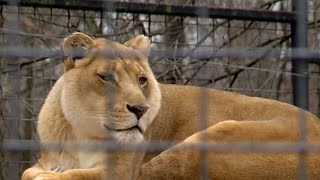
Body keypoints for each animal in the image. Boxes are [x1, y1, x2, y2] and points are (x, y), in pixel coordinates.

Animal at [22, 32, 320, 180]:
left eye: (142, 80)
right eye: (107, 77)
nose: (140, 110)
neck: (82, 134)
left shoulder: (120, 171)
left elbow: (78, 176)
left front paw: (53, 177)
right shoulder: (46, 160)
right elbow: (29, 171)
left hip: (213, 138)